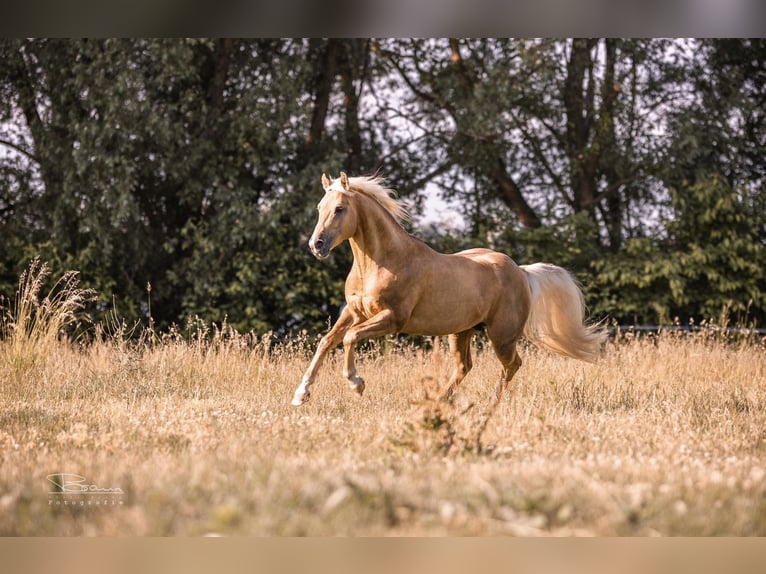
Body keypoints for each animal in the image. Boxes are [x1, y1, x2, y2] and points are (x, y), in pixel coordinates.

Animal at [291, 172, 606, 425]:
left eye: (340, 208)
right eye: (320, 208)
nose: (316, 245)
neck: (382, 261)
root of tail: (522, 272)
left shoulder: (392, 319)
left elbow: (349, 338)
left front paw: (356, 384)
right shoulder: (354, 312)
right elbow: (327, 341)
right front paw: (300, 394)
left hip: (501, 336)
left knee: (512, 365)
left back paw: (487, 409)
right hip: (462, 331)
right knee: (464, 366)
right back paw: (438, 403)